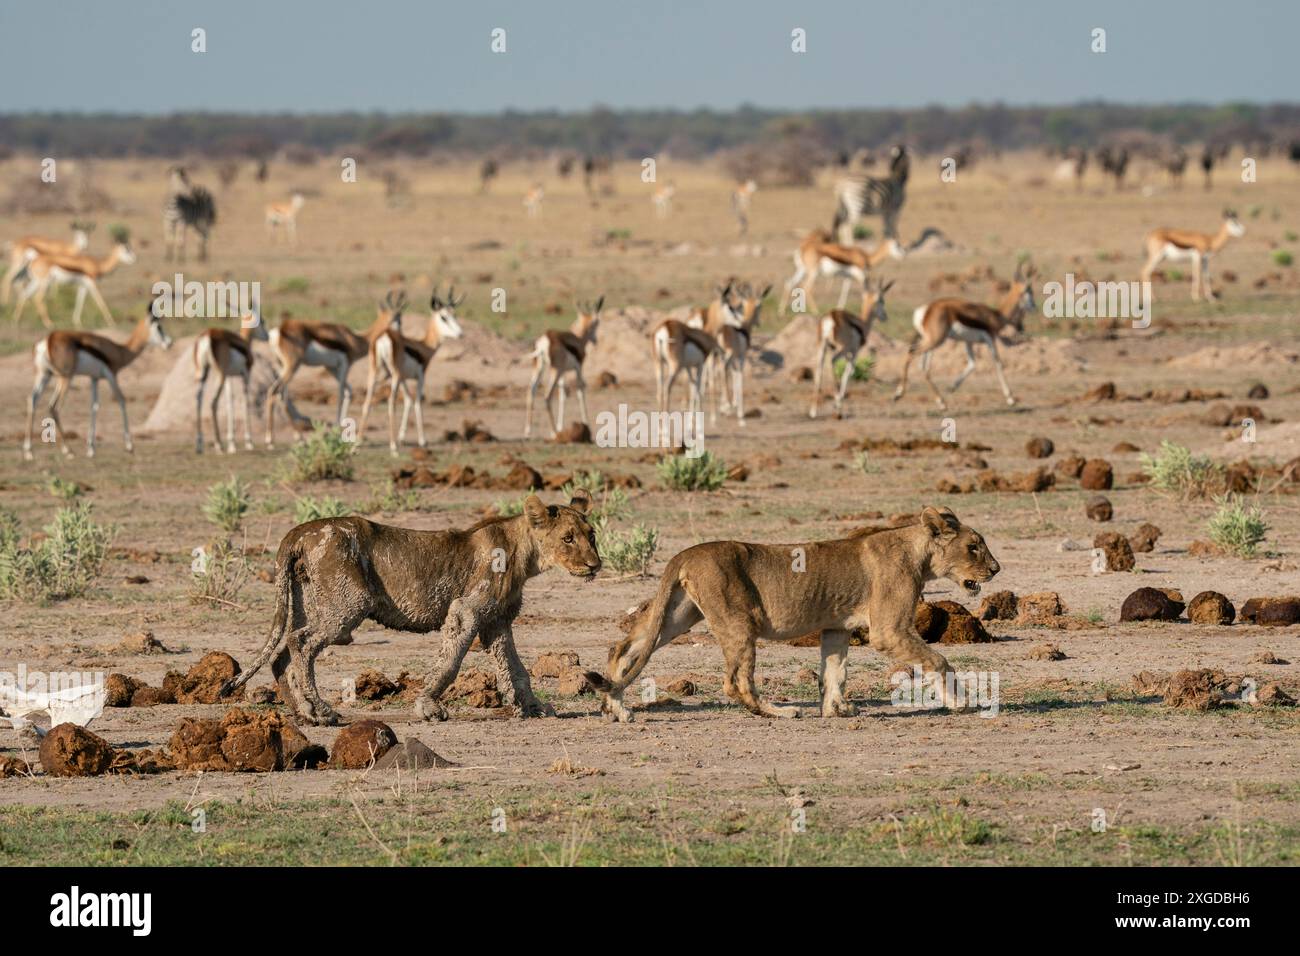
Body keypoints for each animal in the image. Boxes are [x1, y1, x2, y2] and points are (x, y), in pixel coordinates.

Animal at [220, 494, 600, 723]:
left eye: (591, 534)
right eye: (568, 538)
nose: (595, 565)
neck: (525, 551)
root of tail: (298, 531)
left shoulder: (498, 620)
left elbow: (516, 668)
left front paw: (534, 707)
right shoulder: (467, 609)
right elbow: (449, 662)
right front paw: (428, 706)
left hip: (307, 602)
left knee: (281, 654)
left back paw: (304, 713)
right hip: (349, 603)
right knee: (301, 643)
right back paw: (323, 711)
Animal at [590, 504, 1003, 723]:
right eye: (974, 547)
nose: (996, 569)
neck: (918, 553)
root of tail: (685, 553)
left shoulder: (836, 627)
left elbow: (834, 672)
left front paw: (837, 710)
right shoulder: (889, 630)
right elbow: (938, 660)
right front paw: (960, 701)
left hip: (678, 616)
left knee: (623, 649)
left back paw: (616, 706)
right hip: (737, 620)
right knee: (735, 682)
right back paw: (779, 712)